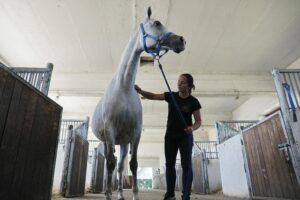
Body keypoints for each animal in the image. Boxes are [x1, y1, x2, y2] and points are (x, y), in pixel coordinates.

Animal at [91, 7, 185, 200]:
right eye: (157, 23)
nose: (181, 40)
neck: (124, 87)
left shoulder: (135, 134)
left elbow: (133, 164)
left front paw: (134, 195)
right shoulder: (110, 130)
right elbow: (110, 164)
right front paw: (108, 195)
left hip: (124, 143)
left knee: (120, 166)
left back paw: (120, 194)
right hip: (107, 142)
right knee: (111, 163)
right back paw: (108, 191)